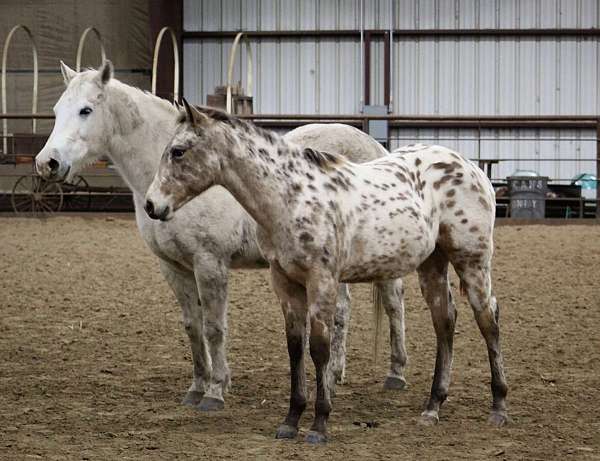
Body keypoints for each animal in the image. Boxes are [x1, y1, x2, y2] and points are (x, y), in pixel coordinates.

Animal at [35, 60, 410, 410]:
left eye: (86, 110)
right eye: (56, 110)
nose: (47, 163)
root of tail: (376, 148)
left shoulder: (209, 263)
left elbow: (215, 327)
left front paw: (215, 392)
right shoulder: (174, 268)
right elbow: (193, 327)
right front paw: (197, 387)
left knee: (393, 303)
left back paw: (396, 374)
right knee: (341, 311)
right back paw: (333, 374)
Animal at [144, 101, 506, 442]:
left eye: (178, 151)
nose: (151, 205)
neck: (291, 198)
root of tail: (473, 170)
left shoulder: (323, 280)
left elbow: (319, 347)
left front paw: (319, 424)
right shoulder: (285, 282)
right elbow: (295, 347)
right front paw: (291, 420)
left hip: (472, 262)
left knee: (488, 319)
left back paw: (498, 407)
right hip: (432, 264)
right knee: (444, 321)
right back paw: (433, 407)